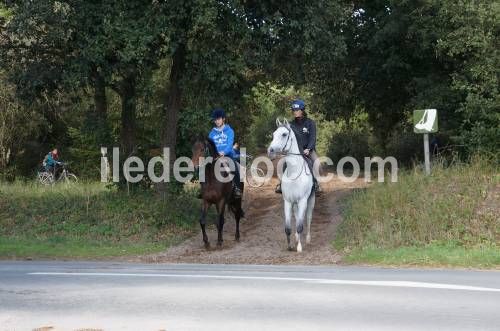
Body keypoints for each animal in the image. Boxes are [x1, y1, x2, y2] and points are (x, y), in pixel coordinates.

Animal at [268, 118, 314, 252]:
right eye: (273, 134)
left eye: (284, 134)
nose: (270, 151)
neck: (294, 174)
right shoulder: (288, 201)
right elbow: (288, 227)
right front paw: (290, 245)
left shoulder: (303, 200)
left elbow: (300, 225)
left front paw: (299, 247)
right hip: (294, 204)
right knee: (297, 217)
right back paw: (297, 238)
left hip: (310, 200)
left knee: (308, 219)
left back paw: (307, 239)